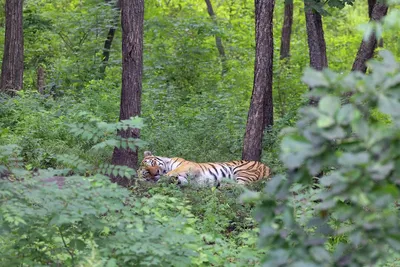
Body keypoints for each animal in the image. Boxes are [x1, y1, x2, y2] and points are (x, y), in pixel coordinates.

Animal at [138, 152, 272, 187]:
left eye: (152, 163)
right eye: (146, 173)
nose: (156, 173)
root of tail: (269, 169)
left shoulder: (188, 166)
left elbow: (172, 172)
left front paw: (163, 179)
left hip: (242, 170)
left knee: (241, 187)